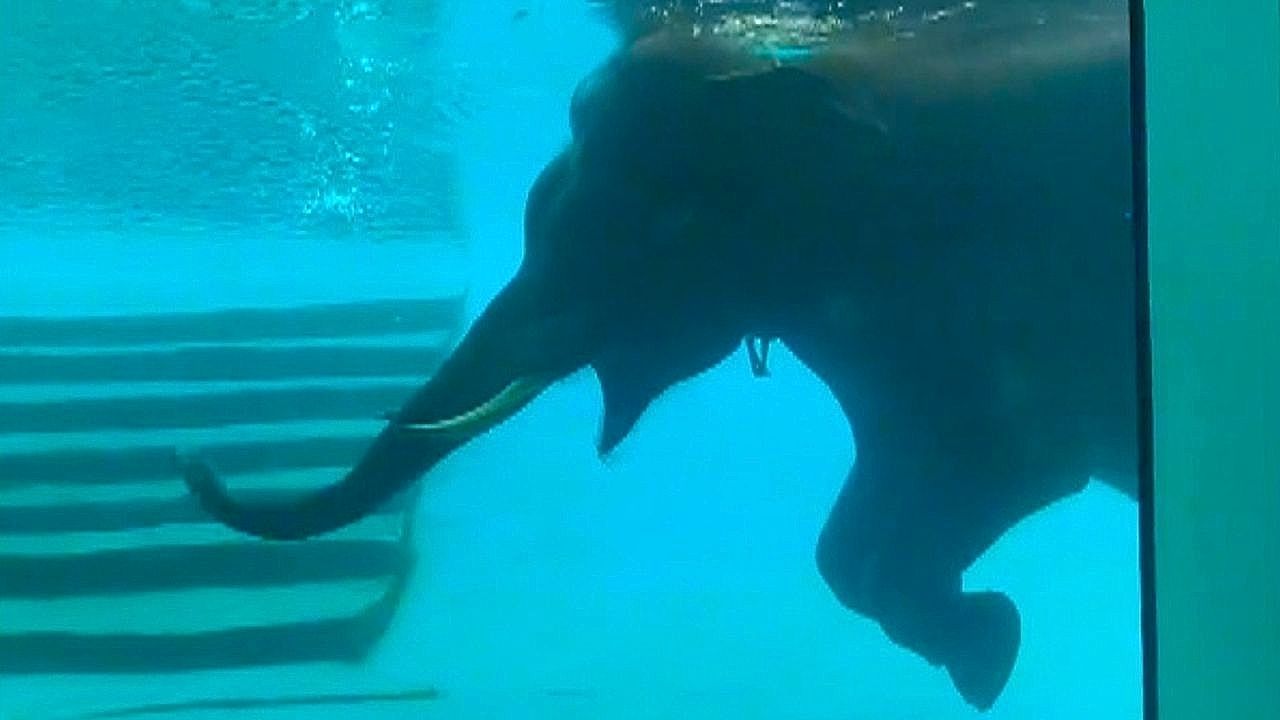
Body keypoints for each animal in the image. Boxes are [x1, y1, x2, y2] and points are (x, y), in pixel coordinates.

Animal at [179, 10, 1139, 712]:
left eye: (625, 236)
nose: (195, 464)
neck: (803, 79)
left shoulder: (978, 311)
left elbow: (1015, 469)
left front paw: (989, 653)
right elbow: (852, 541)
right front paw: (989, 650)